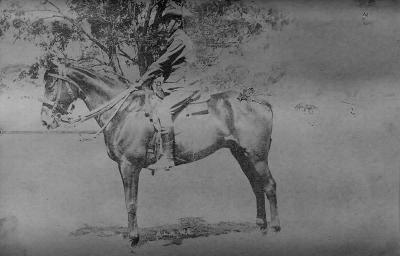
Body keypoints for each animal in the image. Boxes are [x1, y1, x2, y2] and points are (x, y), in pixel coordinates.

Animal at [39, 65, 280, 247]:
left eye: (50, 85)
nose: (45, 120)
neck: (125, 111)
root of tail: (258, 101)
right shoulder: (123, 167)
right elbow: (128, 201)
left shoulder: (129, 166)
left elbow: (131, 203)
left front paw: (134, 239)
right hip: (241, 154)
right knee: (256, 186)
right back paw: (261, 227)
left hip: (257, 156)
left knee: (268, 186)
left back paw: (276, 229)